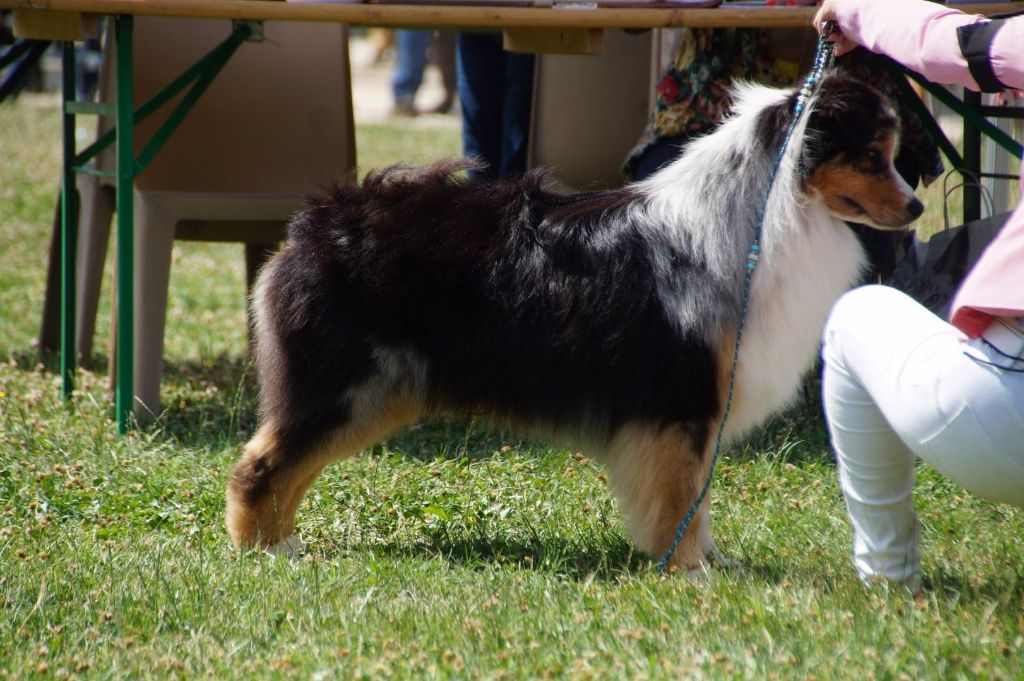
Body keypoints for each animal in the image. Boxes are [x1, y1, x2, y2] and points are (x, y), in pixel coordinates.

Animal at [225, 72, 923, 572]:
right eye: (871, 156)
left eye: (893, 154)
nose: (917, 207)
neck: (760, 217)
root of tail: (317, 222)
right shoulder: (679, 404)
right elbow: (681, 499)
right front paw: (690, 571)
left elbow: (697, 498)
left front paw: (713, 563)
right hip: (346, 386)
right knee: (260, 465)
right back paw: (263, 553)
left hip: (375, 394)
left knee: (288, 464)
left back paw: (280, 545)